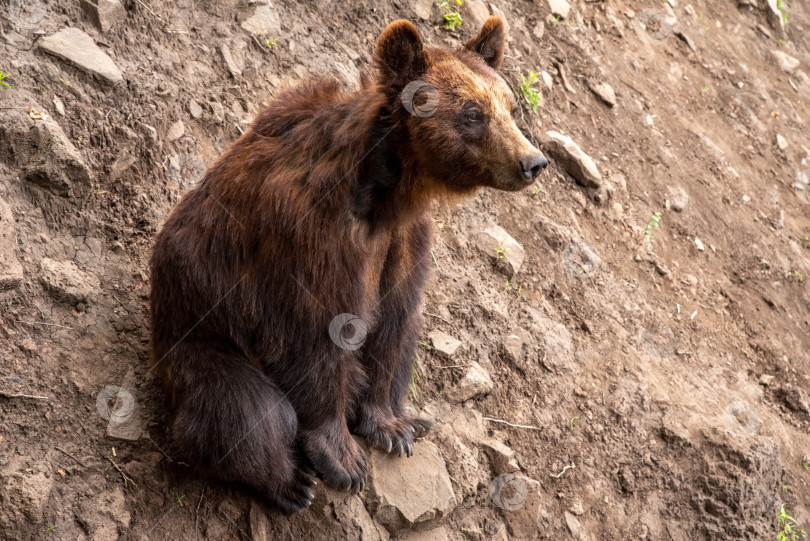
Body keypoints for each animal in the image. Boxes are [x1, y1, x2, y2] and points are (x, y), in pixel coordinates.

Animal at [148, 15, 548, 516]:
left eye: (511, 106)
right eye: (473, 113)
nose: (533, 162)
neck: (387, 193)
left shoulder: (404, 242)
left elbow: (395, 322)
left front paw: (390, 427)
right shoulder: (312, 236)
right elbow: (316, 333)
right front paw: (343, 459)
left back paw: (414, 420)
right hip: (201, 338)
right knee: (245, 408)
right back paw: (291, 482)